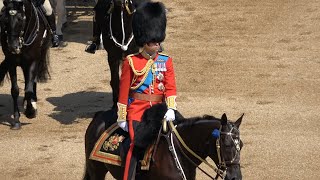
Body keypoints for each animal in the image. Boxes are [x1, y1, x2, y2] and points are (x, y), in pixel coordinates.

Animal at [0, 0, 52, 129]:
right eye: (5, 19)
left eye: (20, 19)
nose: (13, 47)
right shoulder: (11, 62)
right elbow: (15, 90)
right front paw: (16, 120)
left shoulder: (33, 61)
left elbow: (28, 88)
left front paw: (30, 111)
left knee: (32, 82)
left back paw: (32, 102)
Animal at [84, 102, 244, 180]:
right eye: (226, 144)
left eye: (241, 145)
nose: (235, 177)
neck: (178, 152)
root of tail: (99, 115)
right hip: (96, 170)